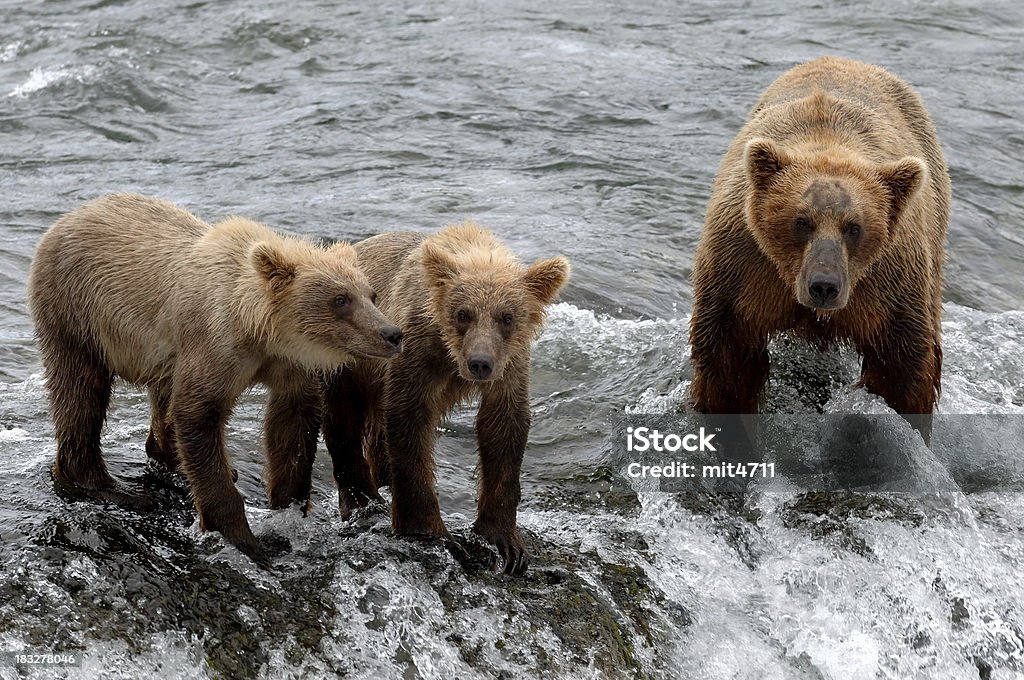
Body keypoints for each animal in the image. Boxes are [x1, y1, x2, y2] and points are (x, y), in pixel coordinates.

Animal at [688, 57, 950, 440]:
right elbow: (729, 360)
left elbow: (901, 365)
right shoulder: (744, 268)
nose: (824, 286)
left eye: (854, 227)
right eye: (801, 221)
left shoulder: (889, 282)